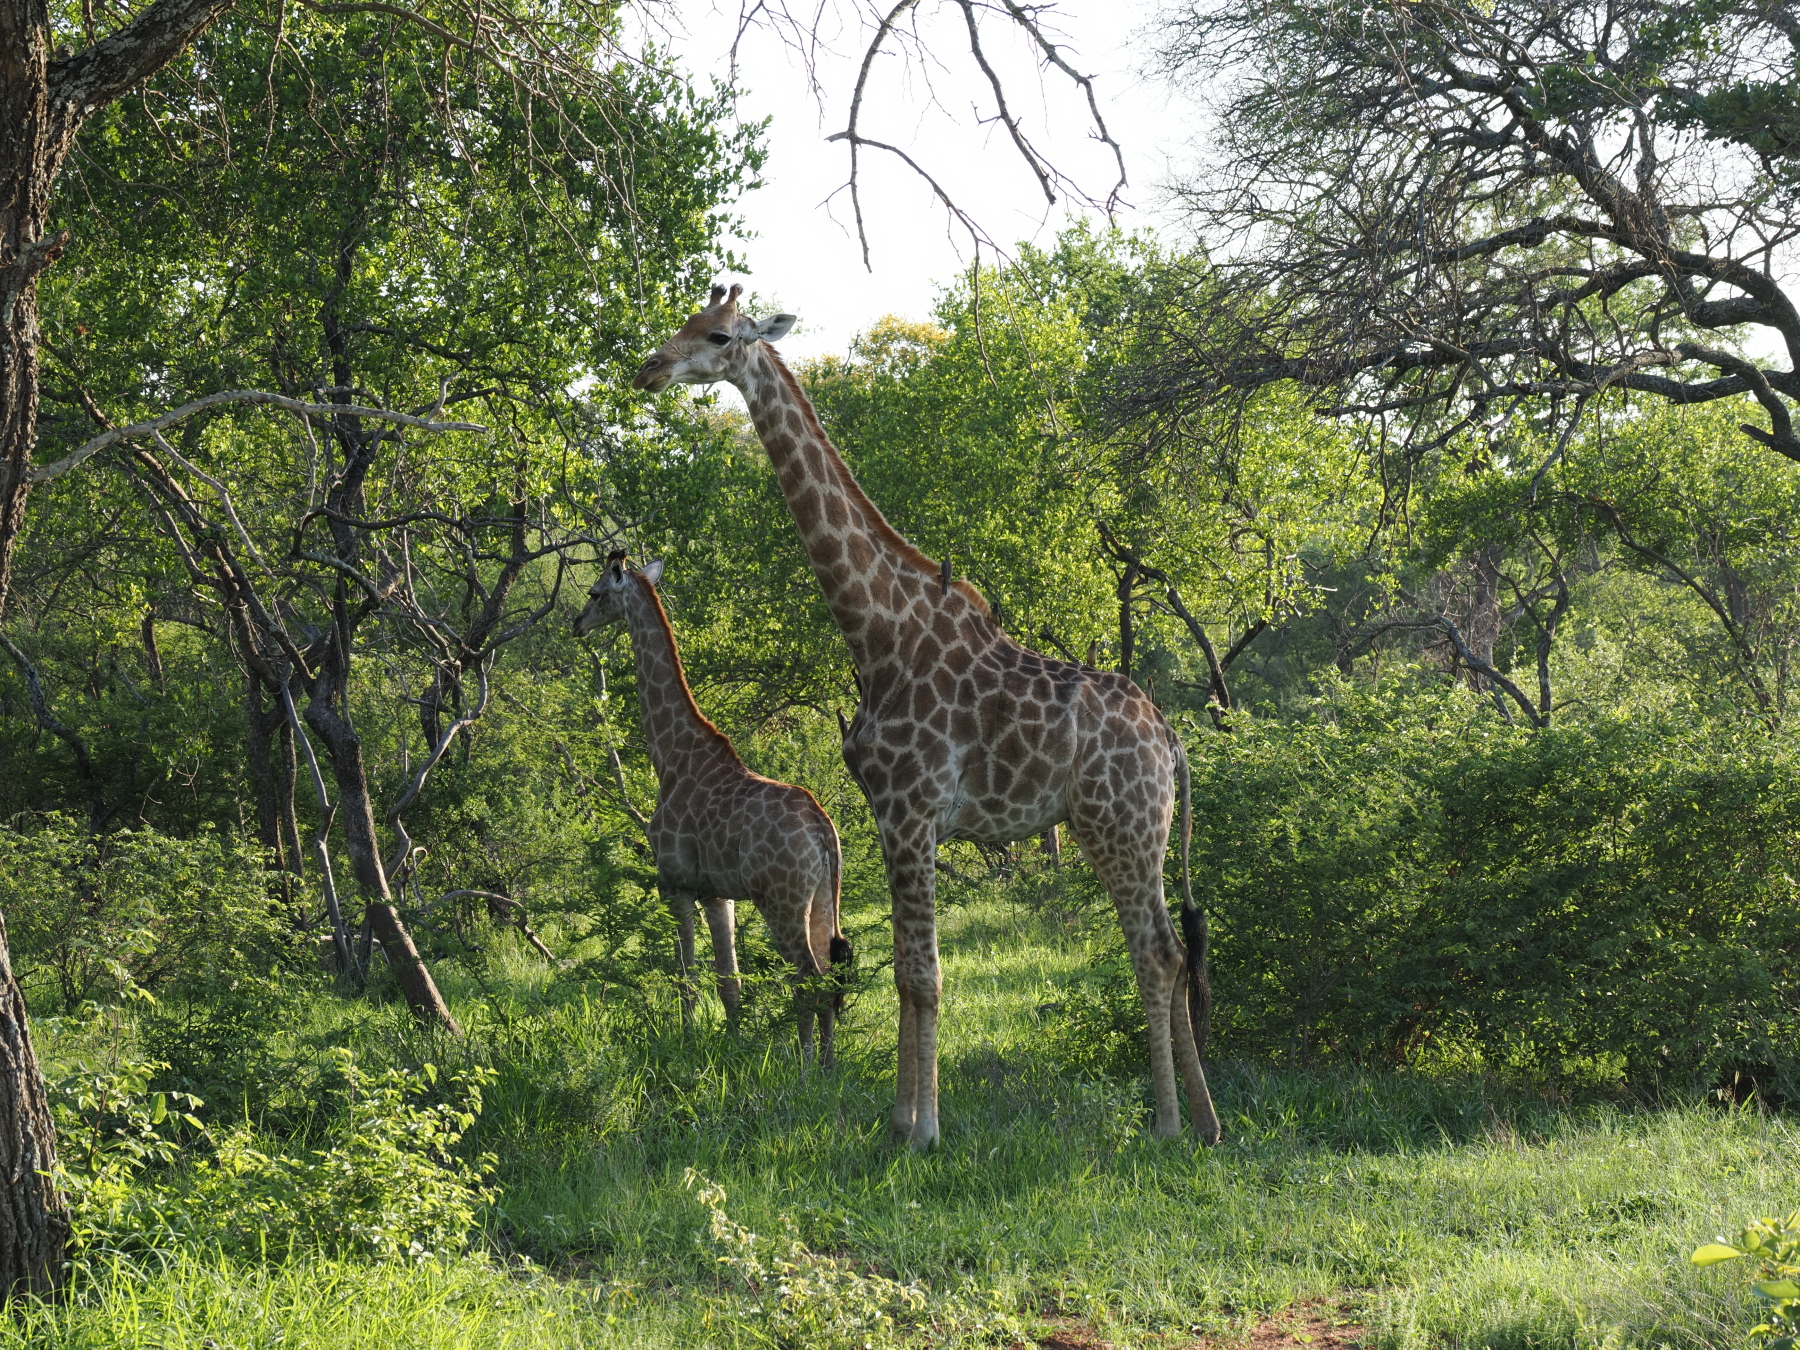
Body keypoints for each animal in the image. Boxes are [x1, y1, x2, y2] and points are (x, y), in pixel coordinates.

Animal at [574, 551, 851, 1067]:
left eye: (596, 593)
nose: (577, 624)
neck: (668, 754)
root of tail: (823, 830)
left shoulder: (676, 883)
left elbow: (686, 974)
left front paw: (686, 1042)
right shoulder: (717, 893)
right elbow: (730, 982)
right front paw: (735, 1046)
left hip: (780, 900)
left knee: (807, 977)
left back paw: (807, 1067)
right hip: (822, 897)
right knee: (827, 974)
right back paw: (827, 1063)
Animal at [631, 286, 1221, 1149]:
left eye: (715, 336)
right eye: (680, 323)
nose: (649, 368)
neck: (876, 630)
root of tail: (1171, 741)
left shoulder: (911, 810)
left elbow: (925, 974)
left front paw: (925, 1133)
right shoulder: (887, 817)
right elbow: (906, 975)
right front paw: (899, 1121)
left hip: (1120, 822)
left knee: (1153, 953)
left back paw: (1171, 1126)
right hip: (1119, 826)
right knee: (1173, 950)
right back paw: (1206, 1124)